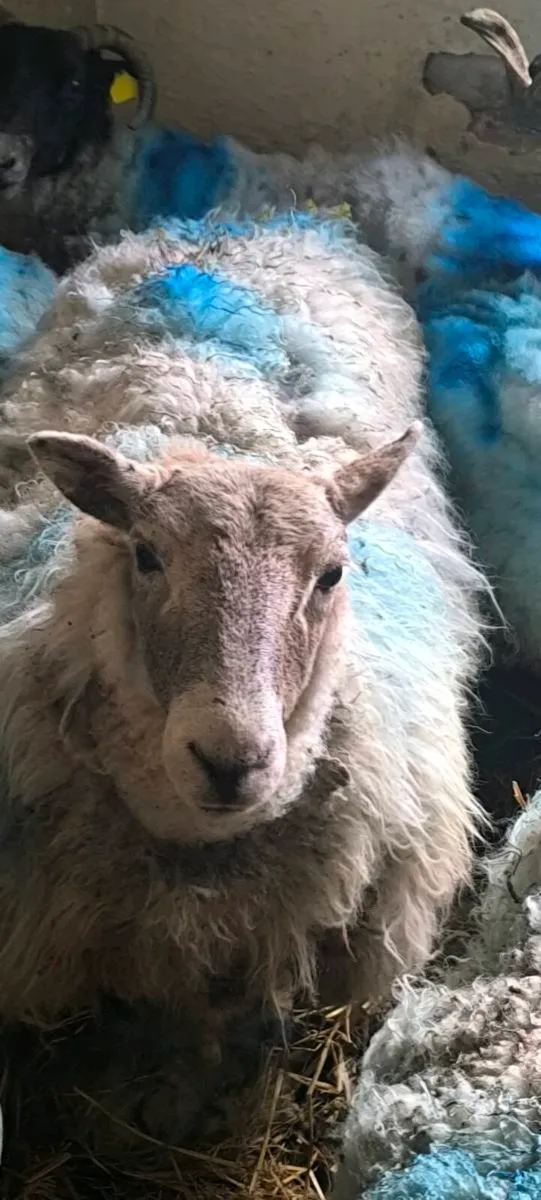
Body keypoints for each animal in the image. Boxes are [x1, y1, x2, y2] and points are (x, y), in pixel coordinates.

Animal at [0, 211, 486, 1147]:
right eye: (147, 555)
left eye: (332, 574)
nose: (232, 761)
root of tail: (257, 219)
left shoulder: (257, 928)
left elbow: (208, 1022)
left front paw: (176, 1100)